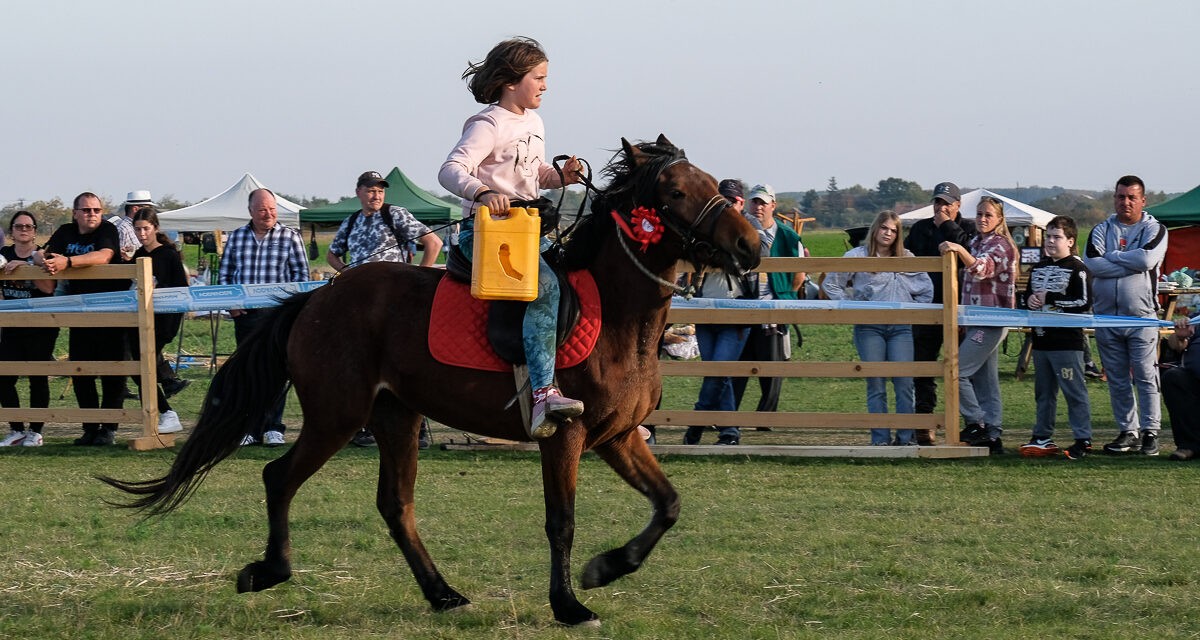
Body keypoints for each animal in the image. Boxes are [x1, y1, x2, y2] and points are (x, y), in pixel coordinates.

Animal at [103, 134, 758, 624]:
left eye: (713, 181)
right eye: (675, 190)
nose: (751, 245)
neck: (617, 319)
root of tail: (318, 296)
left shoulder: (618, 437)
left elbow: (668, 504)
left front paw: (606, 568)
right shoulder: (565, 436)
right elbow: (562, 521)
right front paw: (569, 604)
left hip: (396, 414)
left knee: (395, 504)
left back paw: (442, 592)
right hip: (338, 416)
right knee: (280, 477)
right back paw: (269, 570)